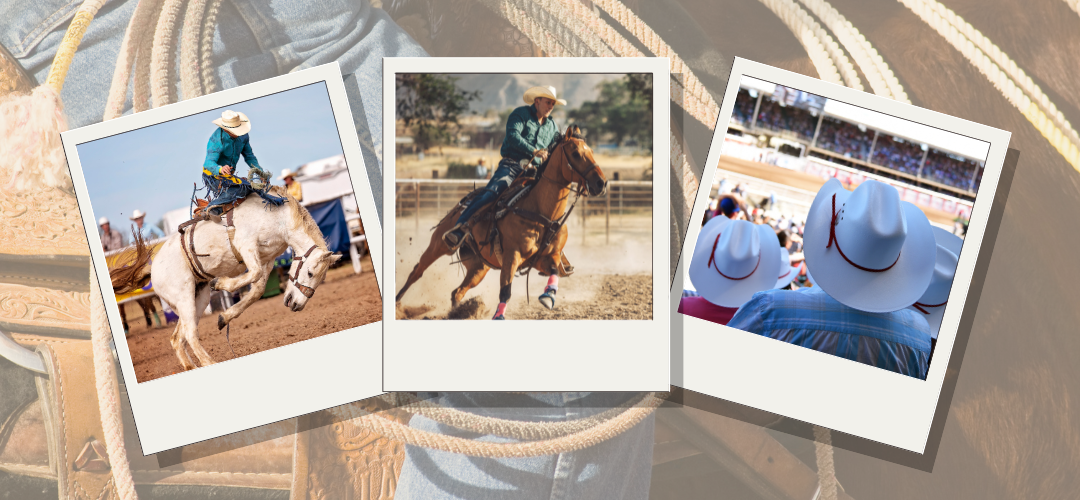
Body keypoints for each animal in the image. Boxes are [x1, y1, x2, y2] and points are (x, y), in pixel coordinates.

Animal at [111, 187, 339, 371]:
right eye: (310, 273)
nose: (297, 305)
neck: (278, 218)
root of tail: (153, 268)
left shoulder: (267, 259)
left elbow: (257, 290)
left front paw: (225, 317)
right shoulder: (246, 245)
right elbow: (253, 274)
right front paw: (220, 283)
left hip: (197, 299)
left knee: (178, 338)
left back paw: (191, 366)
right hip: (184, 297)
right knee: (190, 335)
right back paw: (209, 362)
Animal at [397, 126, 609, 321]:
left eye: (591, 151)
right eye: (575, 153)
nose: (601, 183)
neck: (541, 212)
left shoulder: (544, 259)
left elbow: (555, 270)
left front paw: (548, 296)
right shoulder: (512, 256)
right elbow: (506, 290)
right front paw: (499, 316)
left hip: (479, 268)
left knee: (457, 292)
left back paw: (460, 313)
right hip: (439, 244)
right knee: (417, 271)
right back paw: (398, 304)